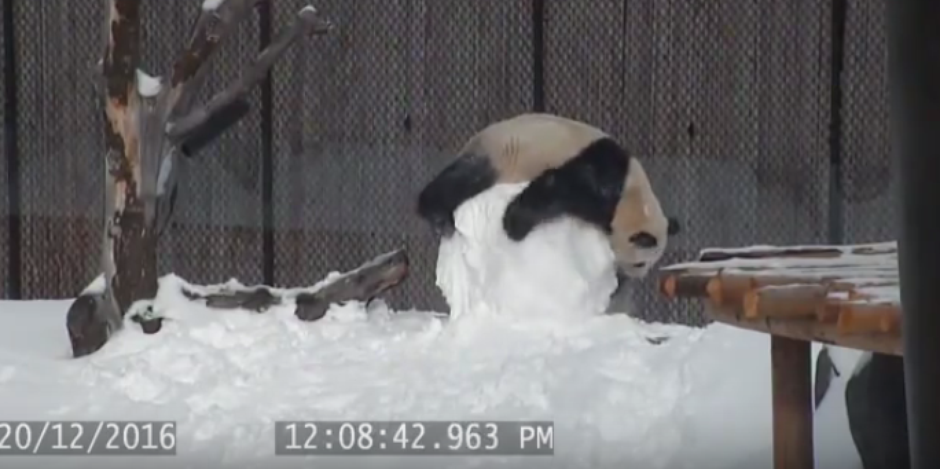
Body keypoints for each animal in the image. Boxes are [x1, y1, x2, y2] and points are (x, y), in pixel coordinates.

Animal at [414, 112, 680, 278]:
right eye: (640, 263)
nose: (630, 276)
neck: (630, 193)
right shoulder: (597, 176)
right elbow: (555, 190)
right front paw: (514, 225)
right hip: (499, 152)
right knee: (463, 179)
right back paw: (438, 215)